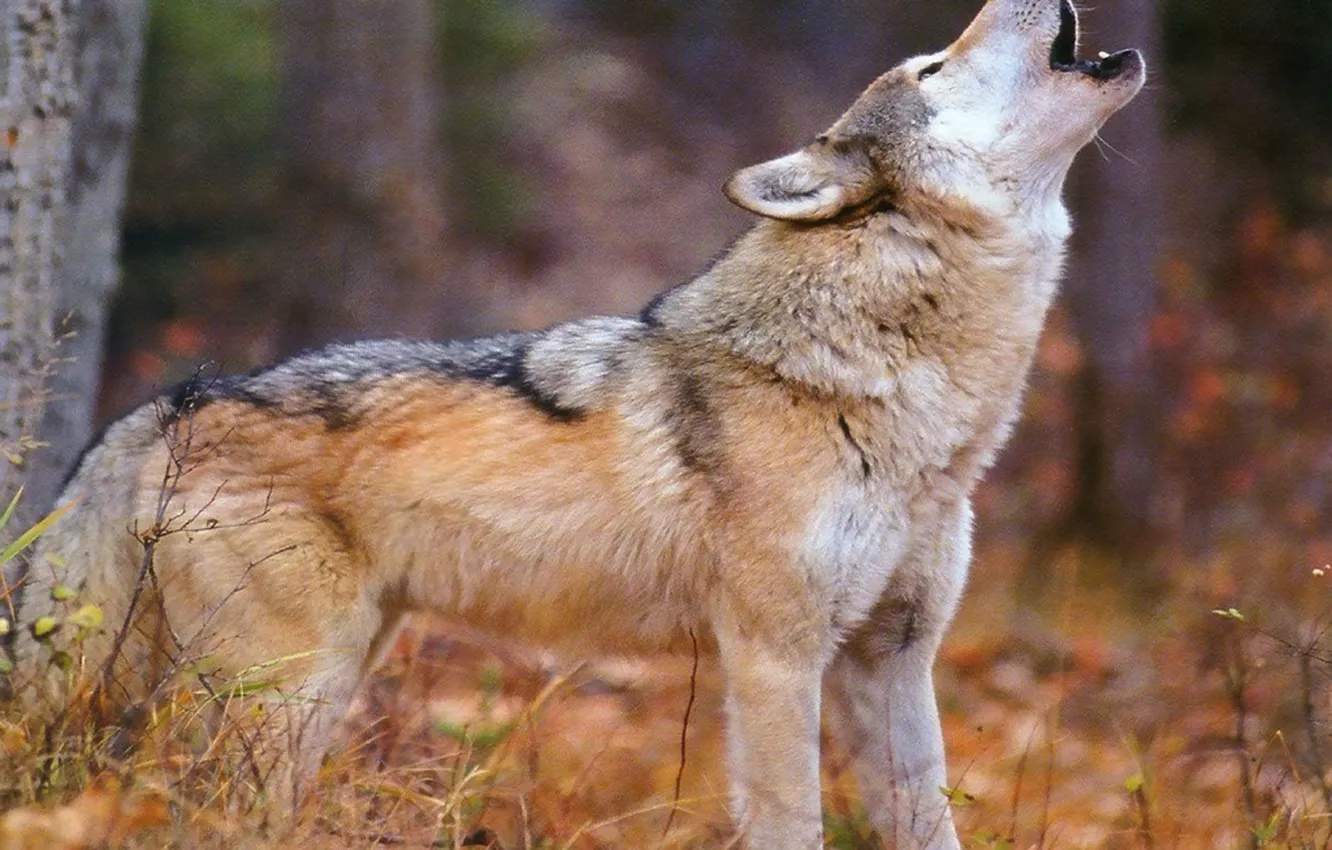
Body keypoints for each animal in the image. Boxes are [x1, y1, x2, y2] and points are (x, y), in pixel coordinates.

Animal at [11, 0, 1144, 846]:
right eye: (931, 64)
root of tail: (164, 404)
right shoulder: (774, 660)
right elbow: (793, 822)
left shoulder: (892, 660)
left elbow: (928, 821)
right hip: (283, 699)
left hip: (319, 686)